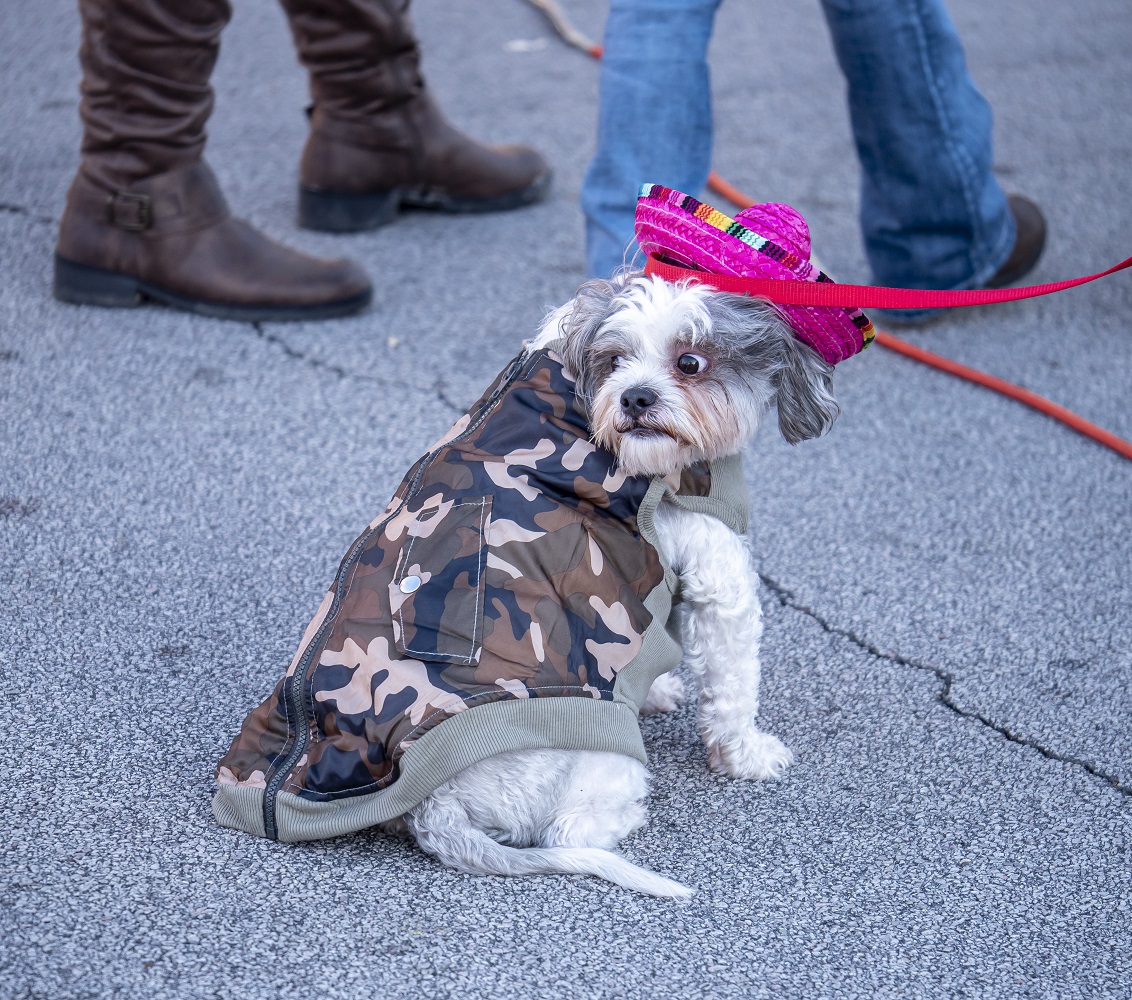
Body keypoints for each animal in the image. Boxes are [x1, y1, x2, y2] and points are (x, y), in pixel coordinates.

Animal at [375, 273, 839, 897]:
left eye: (690, 361)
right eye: (615, 360)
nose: (635, 397)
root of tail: (433, 808)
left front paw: (656, 688)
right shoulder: (718, 576)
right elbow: (733, 685)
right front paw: (746, 755)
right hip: (601, 764)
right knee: (570, 832)